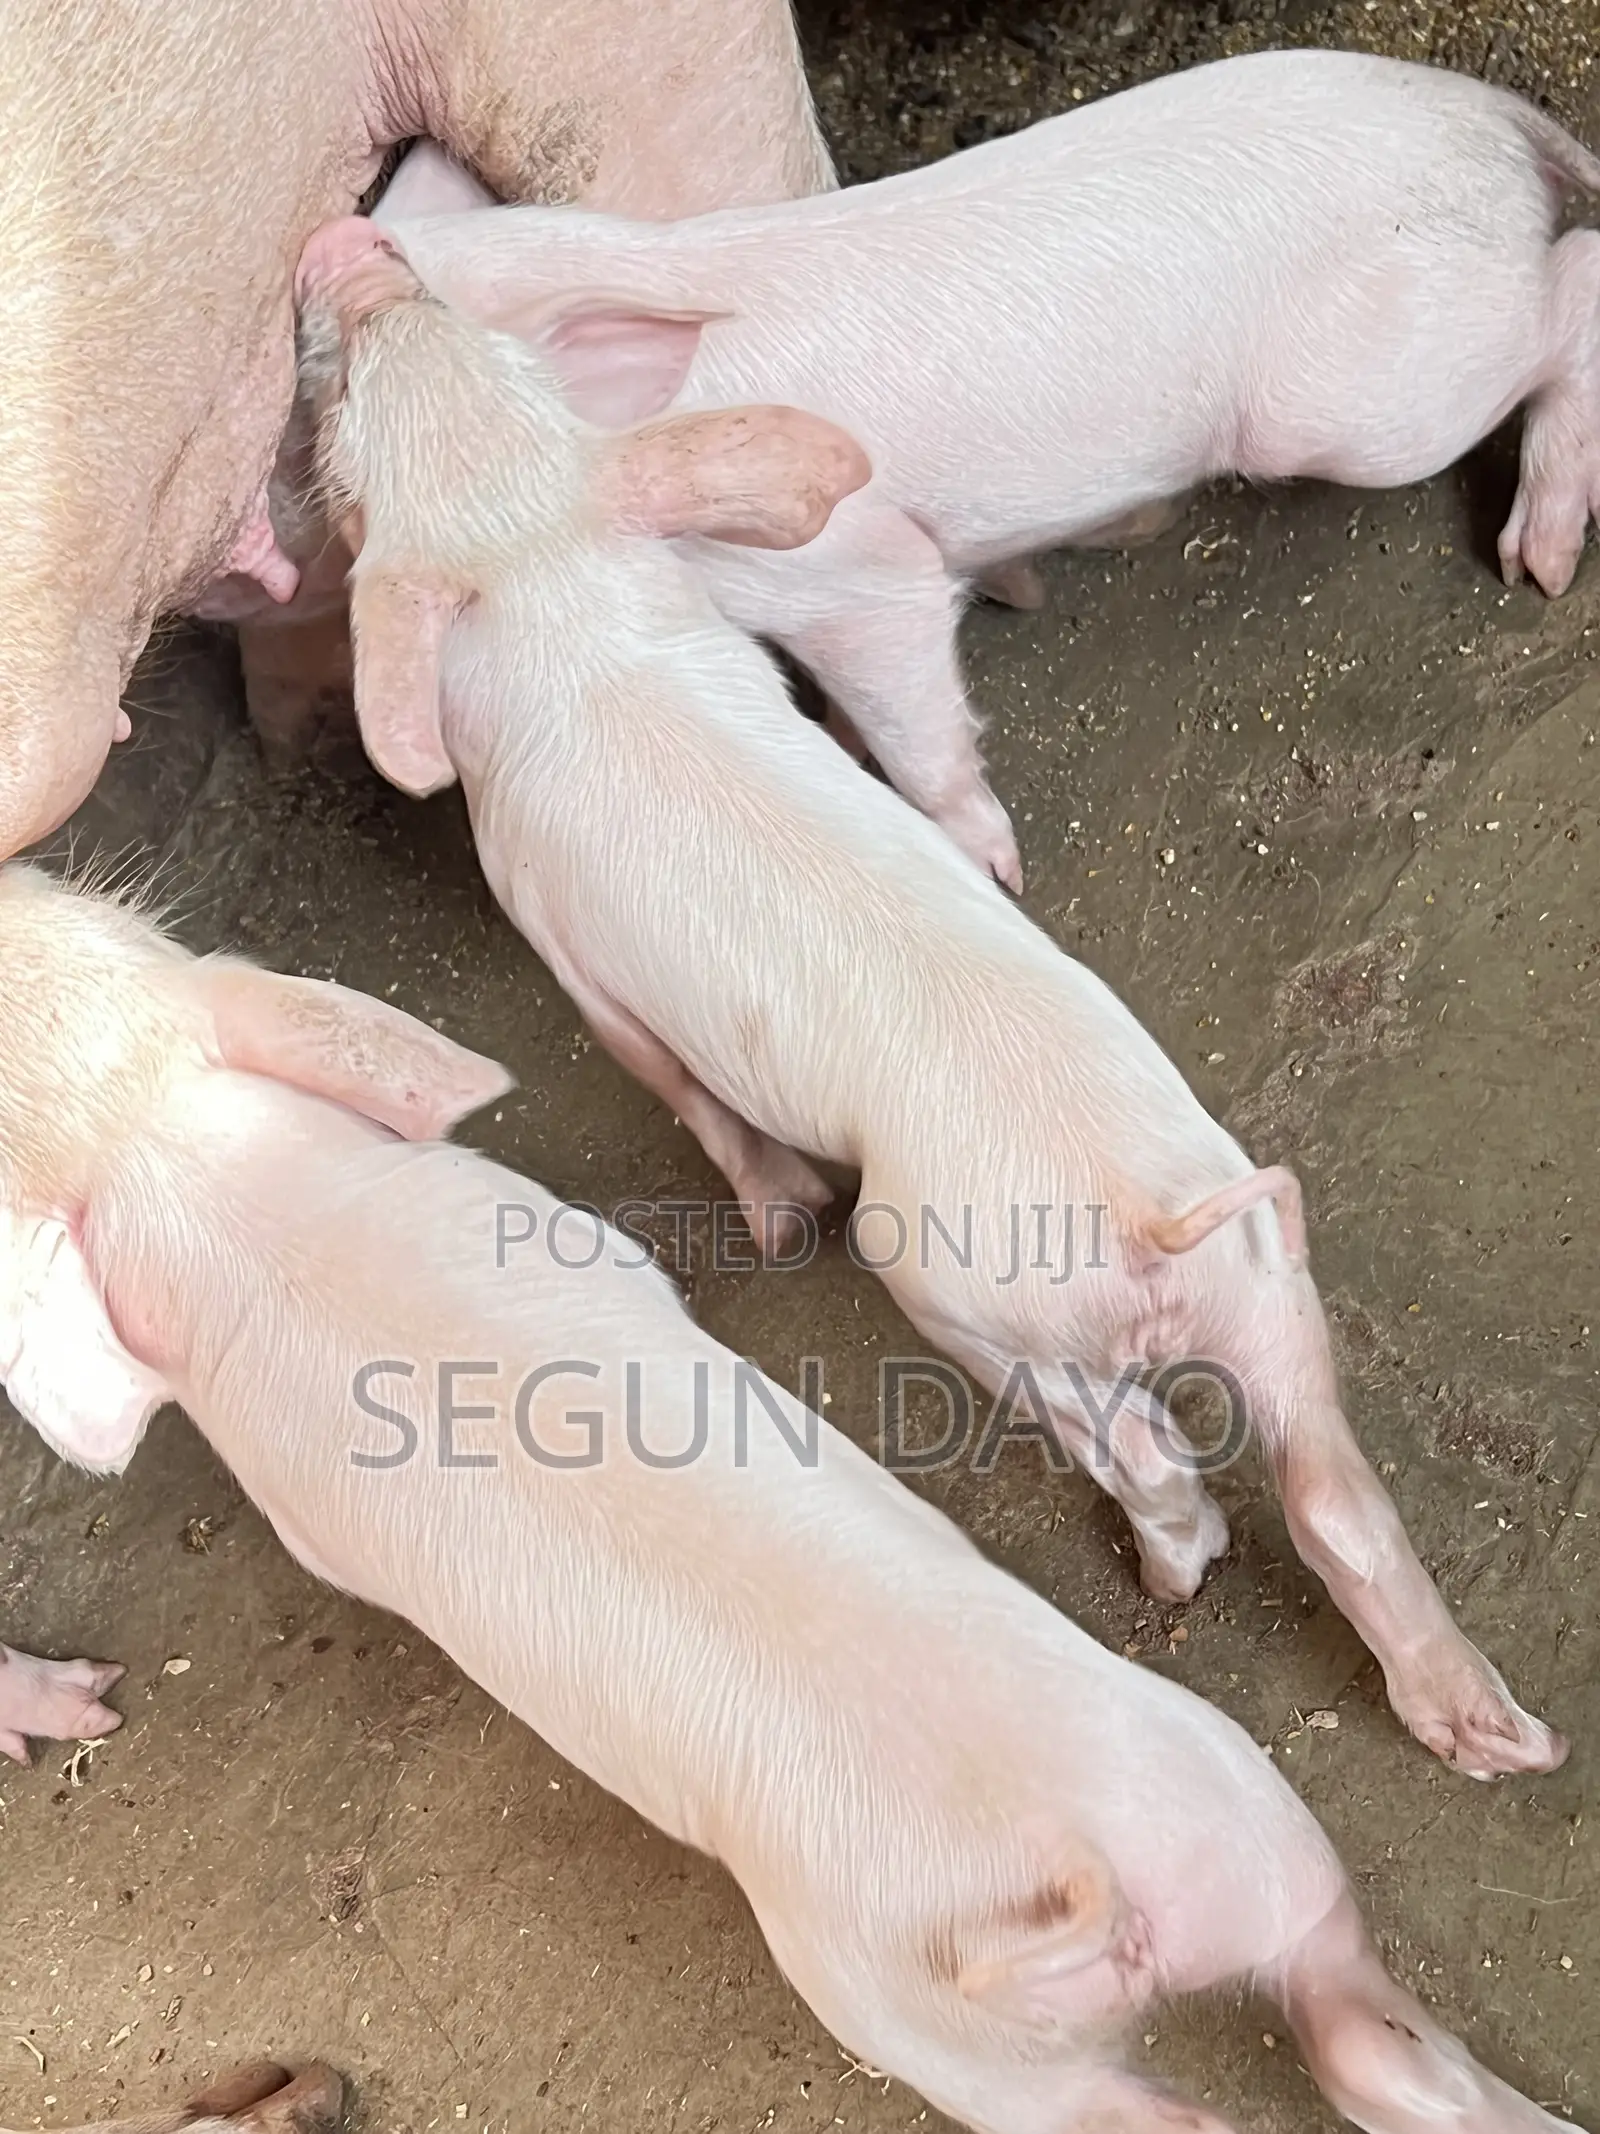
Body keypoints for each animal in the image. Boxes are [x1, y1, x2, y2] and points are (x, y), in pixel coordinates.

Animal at [0, 865, 1582, 2134]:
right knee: (1371, 2048)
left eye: (93, 908)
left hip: (919, 1998)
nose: (27, 862)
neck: (197, 1178)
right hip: (1240, 1843)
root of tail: (1085, 1876)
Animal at [299, 217, 1565, 1783]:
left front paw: (777, 1223)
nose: (348, 244)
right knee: (1335, 1495)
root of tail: (1139, 1220)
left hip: (959, 1288)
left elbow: (675, 1086)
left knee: (1144, 1449)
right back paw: (1505, 1740)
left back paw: (1172, 1573)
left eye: (339, 431)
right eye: (466, 350)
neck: (556, 591)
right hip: (1271, 1279)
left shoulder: (560, 937)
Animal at [385, 45, 1600, 888]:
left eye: (346, 378)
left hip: (1363, 401)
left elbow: (913, 702)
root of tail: (1485, 112)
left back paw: (1536, 565)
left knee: (1576, 275)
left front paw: (989, 871)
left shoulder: (848, 569)